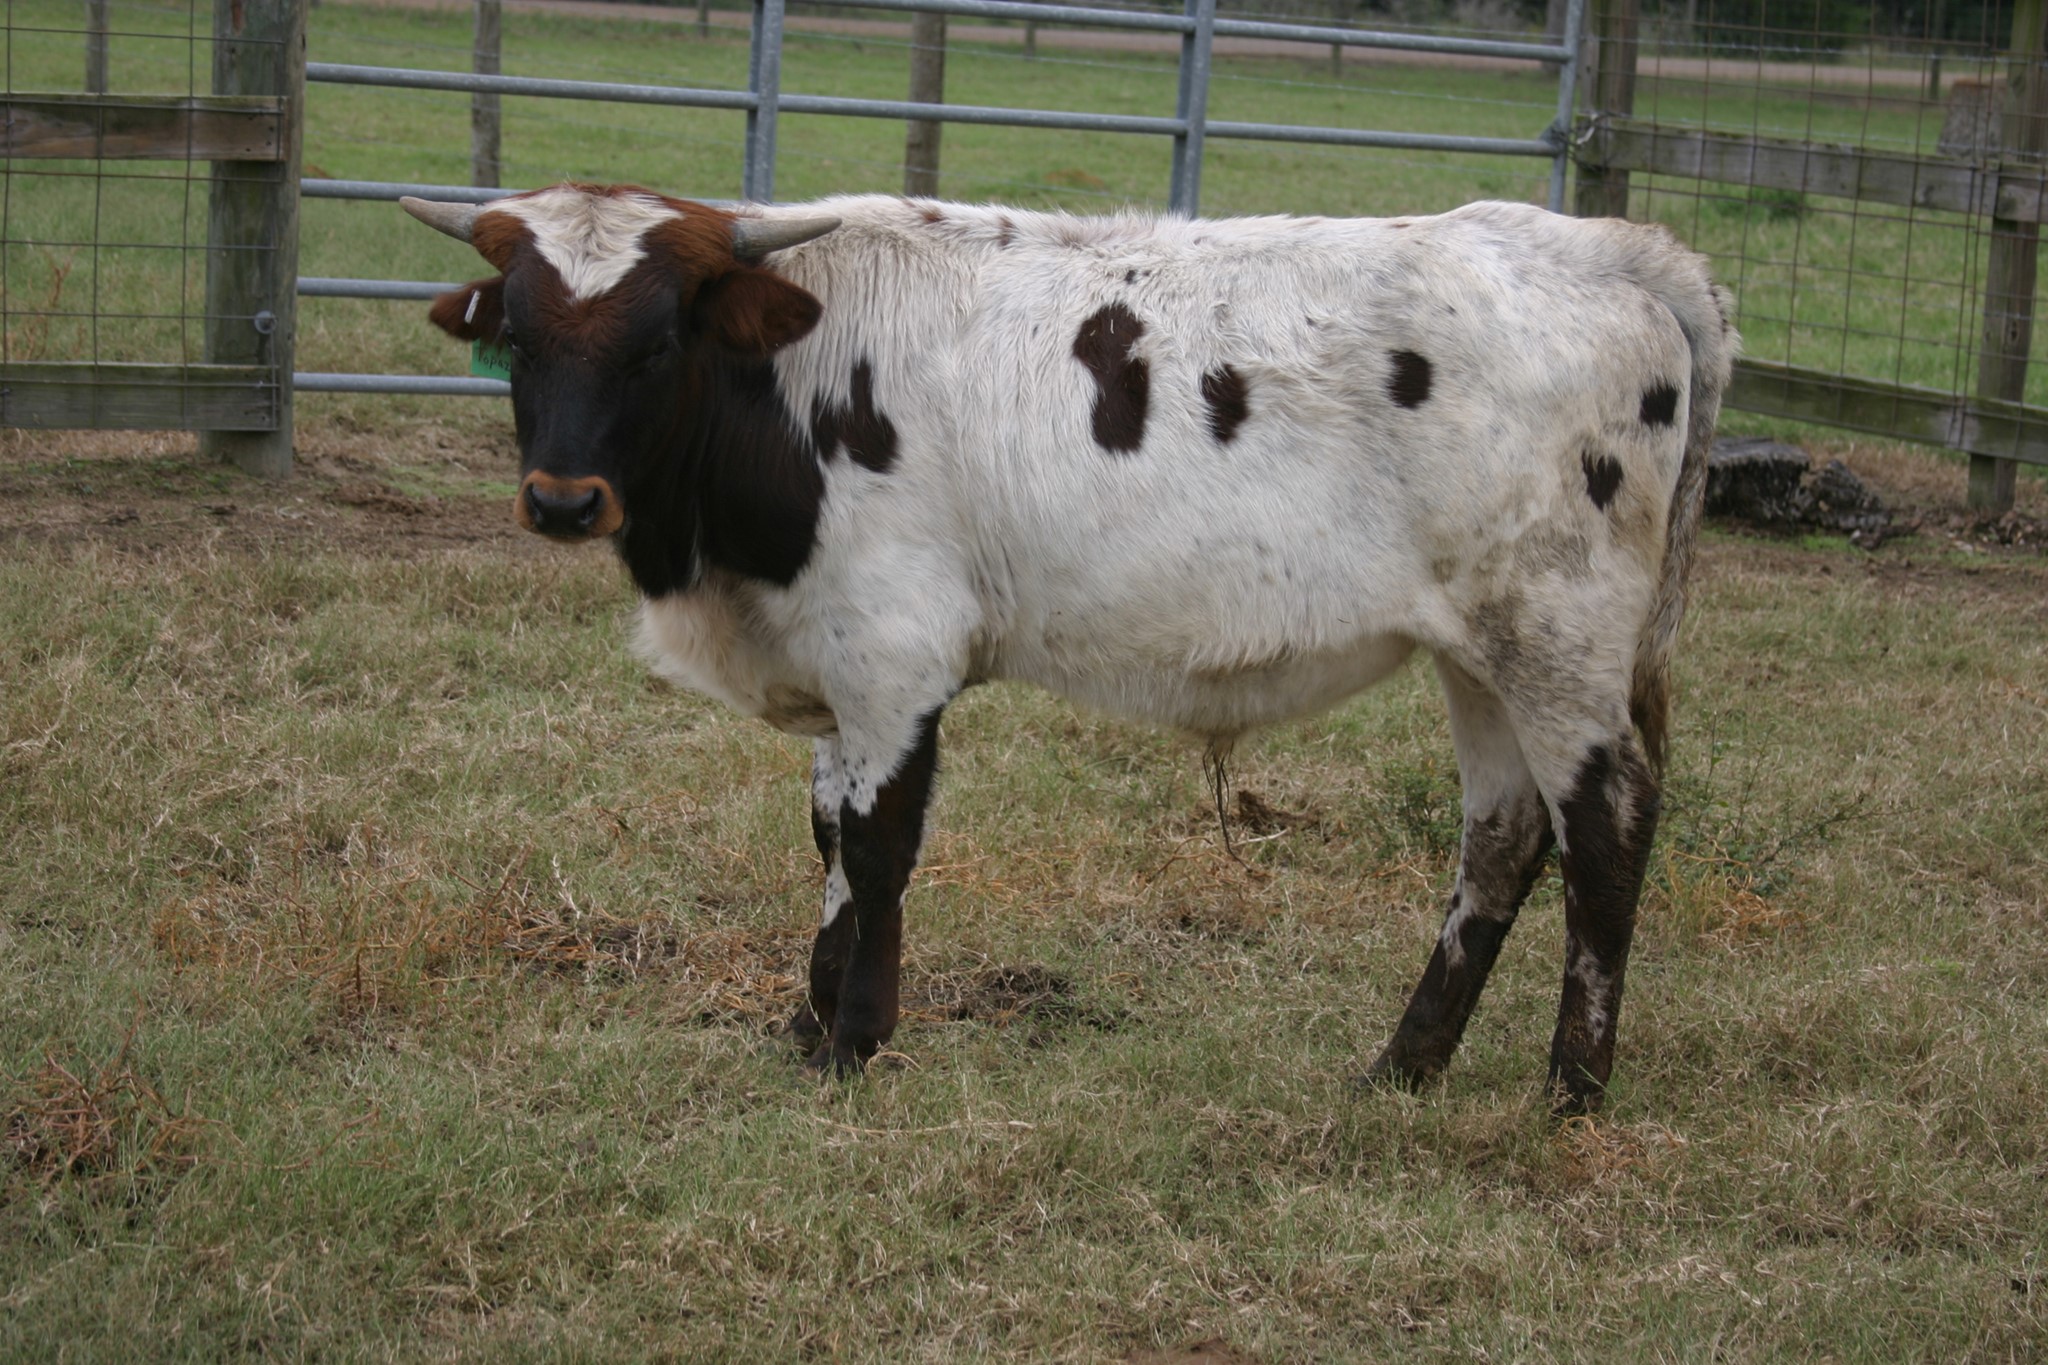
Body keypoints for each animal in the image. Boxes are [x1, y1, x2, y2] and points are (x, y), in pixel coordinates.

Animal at [403, 183, 1734, 1113]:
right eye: (520, 338)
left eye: (655, 340)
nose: (562, 500)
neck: (788, 386)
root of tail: (1600, 246)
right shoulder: (836, 661)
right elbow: (829, 835)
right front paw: (807, 1023)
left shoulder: (893, 654)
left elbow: (877, 849)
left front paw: (853, 1040)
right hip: (1479, 653)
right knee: (1501, 838)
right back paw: (1403, 1068)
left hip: (1556, 638)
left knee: (1604, 827)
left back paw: (1568, 1091)